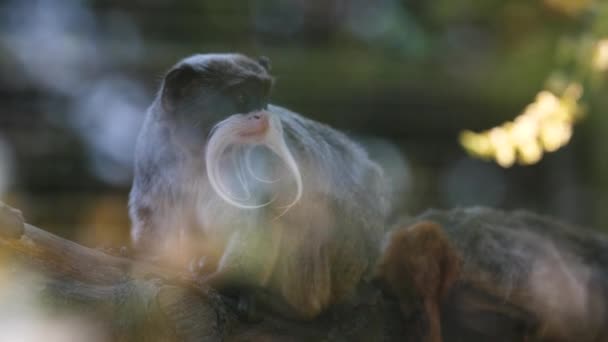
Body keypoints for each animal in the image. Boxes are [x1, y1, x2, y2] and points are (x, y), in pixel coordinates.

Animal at [129, 53, 390, 320]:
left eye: (264, 98)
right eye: (242, 98)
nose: (262, 116)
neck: (198, 157)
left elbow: (255, 226)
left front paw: (223, 283)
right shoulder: (154, 155)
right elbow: (154, 220)